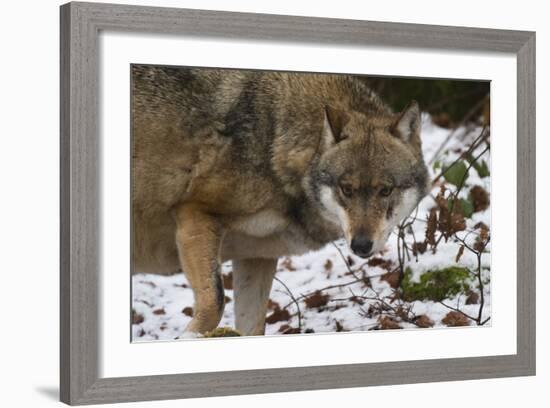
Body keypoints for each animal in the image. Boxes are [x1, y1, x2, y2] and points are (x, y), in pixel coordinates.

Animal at [133, 65, 432, 336]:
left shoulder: (257, 257)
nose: (360, 245)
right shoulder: (195, 213)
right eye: (346, 189)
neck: (274, 140)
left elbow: (252, 328)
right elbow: (214, 301)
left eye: (386, 190)